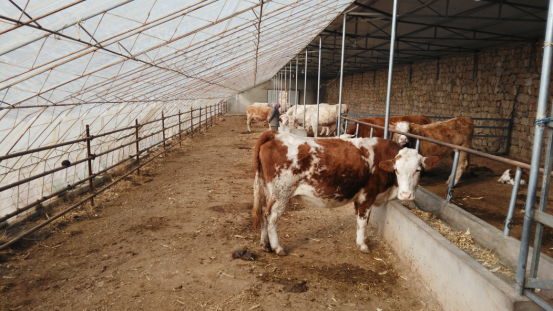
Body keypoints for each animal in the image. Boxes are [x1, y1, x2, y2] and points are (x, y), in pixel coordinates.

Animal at [252, 132, 438, 256]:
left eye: (418, 170)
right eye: (397, 170)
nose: (406, 195)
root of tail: (275, 134)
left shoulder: (359, 197)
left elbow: (360, 221)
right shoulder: (368, 196)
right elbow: (363, 222)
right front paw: (362, 245)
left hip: (268, 191)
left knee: (262, 212)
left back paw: (265, 244)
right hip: (281, 193)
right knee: (271, 217)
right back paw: (277, 248)